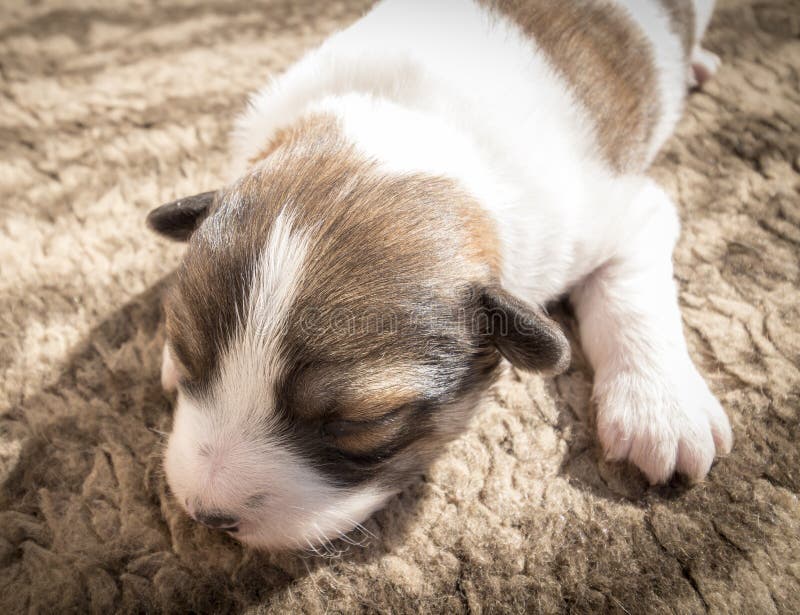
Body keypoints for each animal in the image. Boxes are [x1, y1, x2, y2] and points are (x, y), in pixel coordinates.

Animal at [148, 0, 732, 548]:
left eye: (361, 426)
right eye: (184, 350)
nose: (206, 514)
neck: (405, 128)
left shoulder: (623, 215)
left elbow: (632, 293)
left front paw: (661, 410)